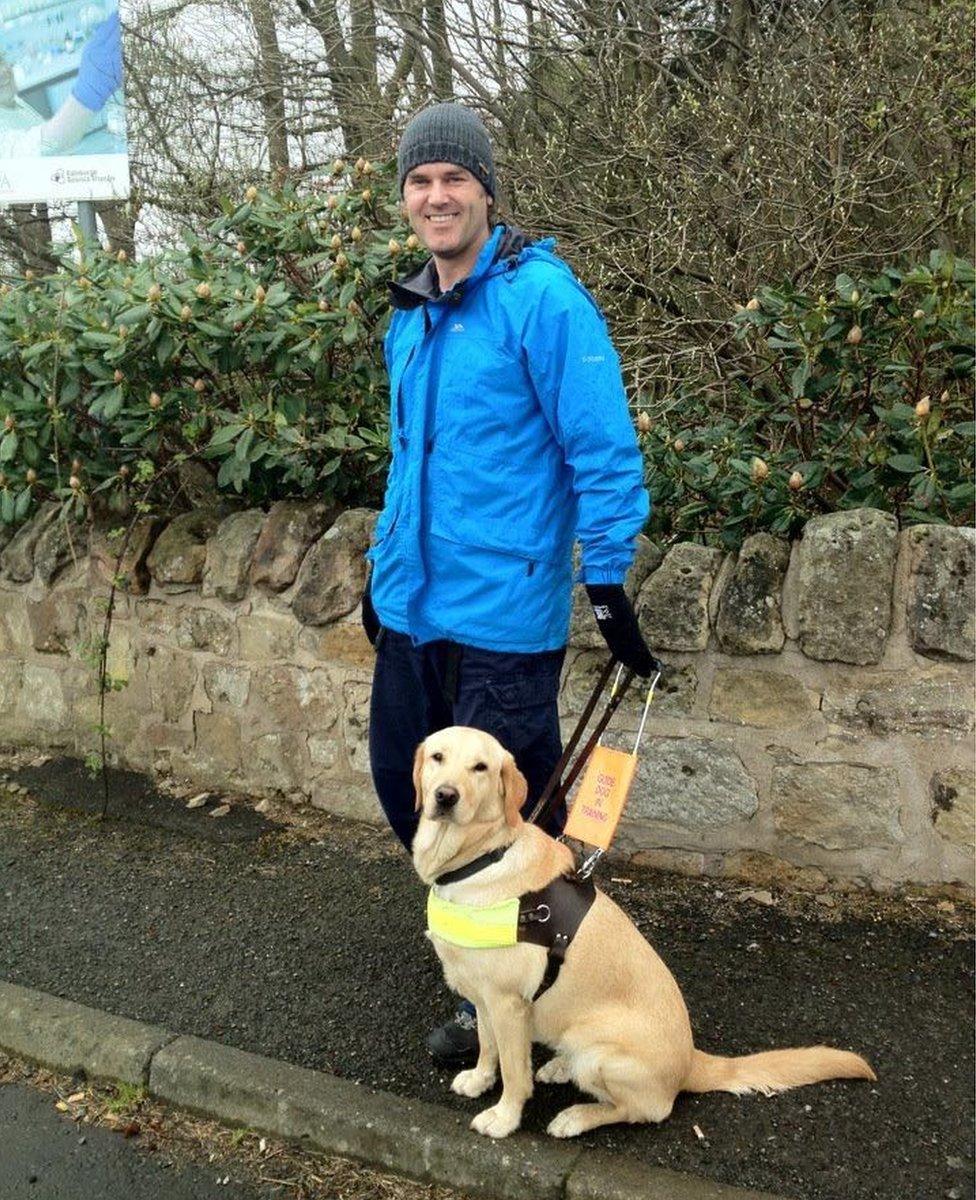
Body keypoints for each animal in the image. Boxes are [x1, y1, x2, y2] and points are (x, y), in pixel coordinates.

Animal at [410, 724, 873, 1137]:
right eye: (437, 757)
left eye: (481, 767)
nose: (445, 796)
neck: (480, 857)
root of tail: (691, 1060)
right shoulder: (483, 997)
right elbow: (488, 1048)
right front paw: (479, 1079)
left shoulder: (508, 1005)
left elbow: (514, 1073)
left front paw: (504, 1118)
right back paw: (560, 1066)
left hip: (599, 1048)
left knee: (645, 1110)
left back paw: (576, 1117)